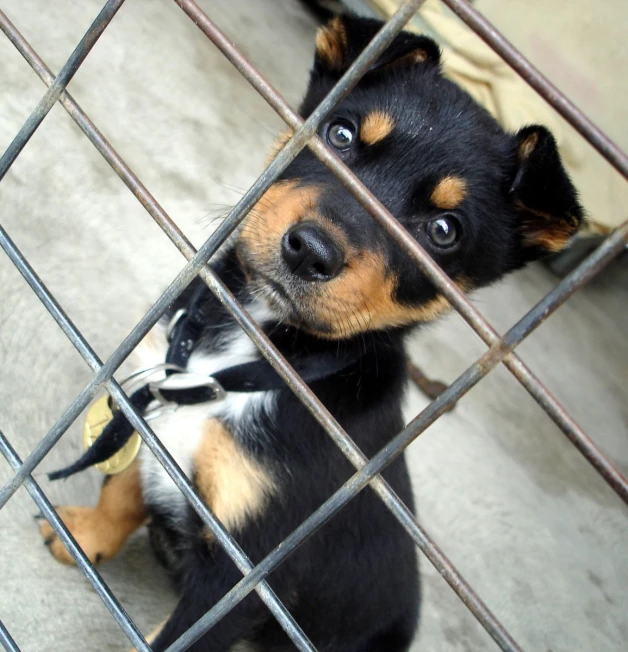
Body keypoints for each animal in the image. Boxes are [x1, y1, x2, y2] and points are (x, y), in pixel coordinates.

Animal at [40, 15, 584, 652]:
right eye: (340, 134)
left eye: (444, 231)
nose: (309, 250)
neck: (250, 354)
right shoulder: (153, 410)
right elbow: (121, 488)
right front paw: (85, 534)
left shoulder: (246, 577)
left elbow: (178, 636)